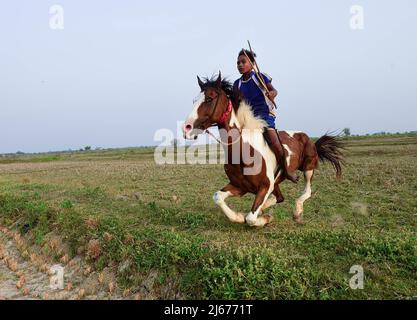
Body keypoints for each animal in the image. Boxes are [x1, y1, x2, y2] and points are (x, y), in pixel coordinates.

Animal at [180, 73, 342, 228]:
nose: (186, 128)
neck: (243, 151)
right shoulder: (240, 186)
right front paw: (239, 216)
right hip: (277, 182)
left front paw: (263, 218)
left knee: (306, 191)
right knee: (279, 197)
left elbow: (250, 218)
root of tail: (307, 137)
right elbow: (218, 197)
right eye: (194, 100)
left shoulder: (265, 186)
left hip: (308, 167)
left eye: (209, 98)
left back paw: (296, 212)